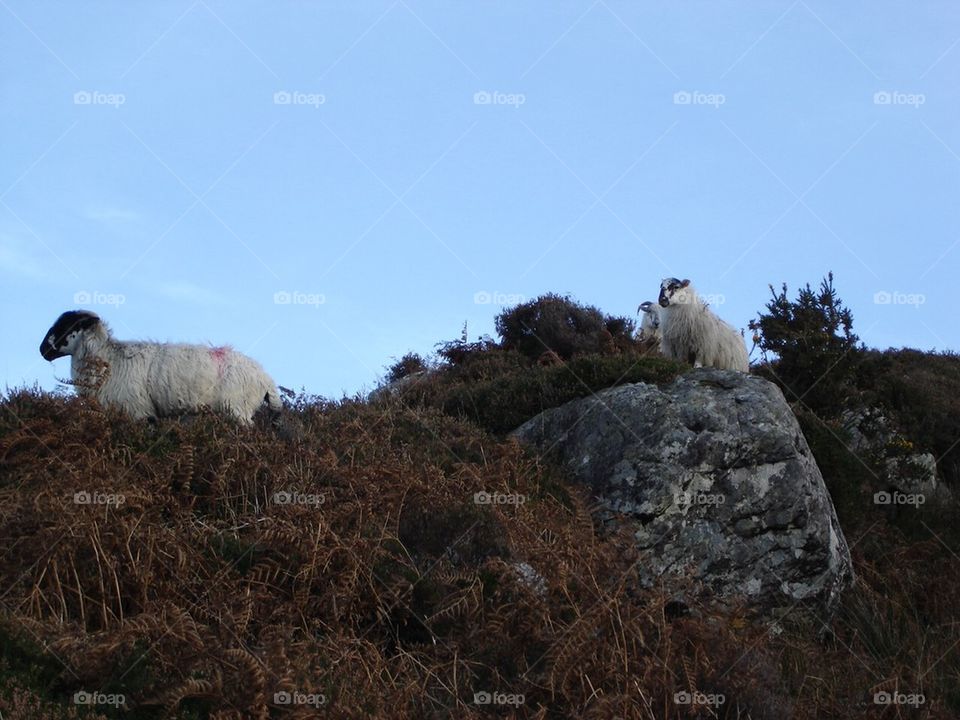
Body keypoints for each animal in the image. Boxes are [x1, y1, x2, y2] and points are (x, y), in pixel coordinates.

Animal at [39, 310, 282, 424]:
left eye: (67, 326)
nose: (42, 350)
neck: (109, 357)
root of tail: (266, 379)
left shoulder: (139, 410)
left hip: (238, 409)